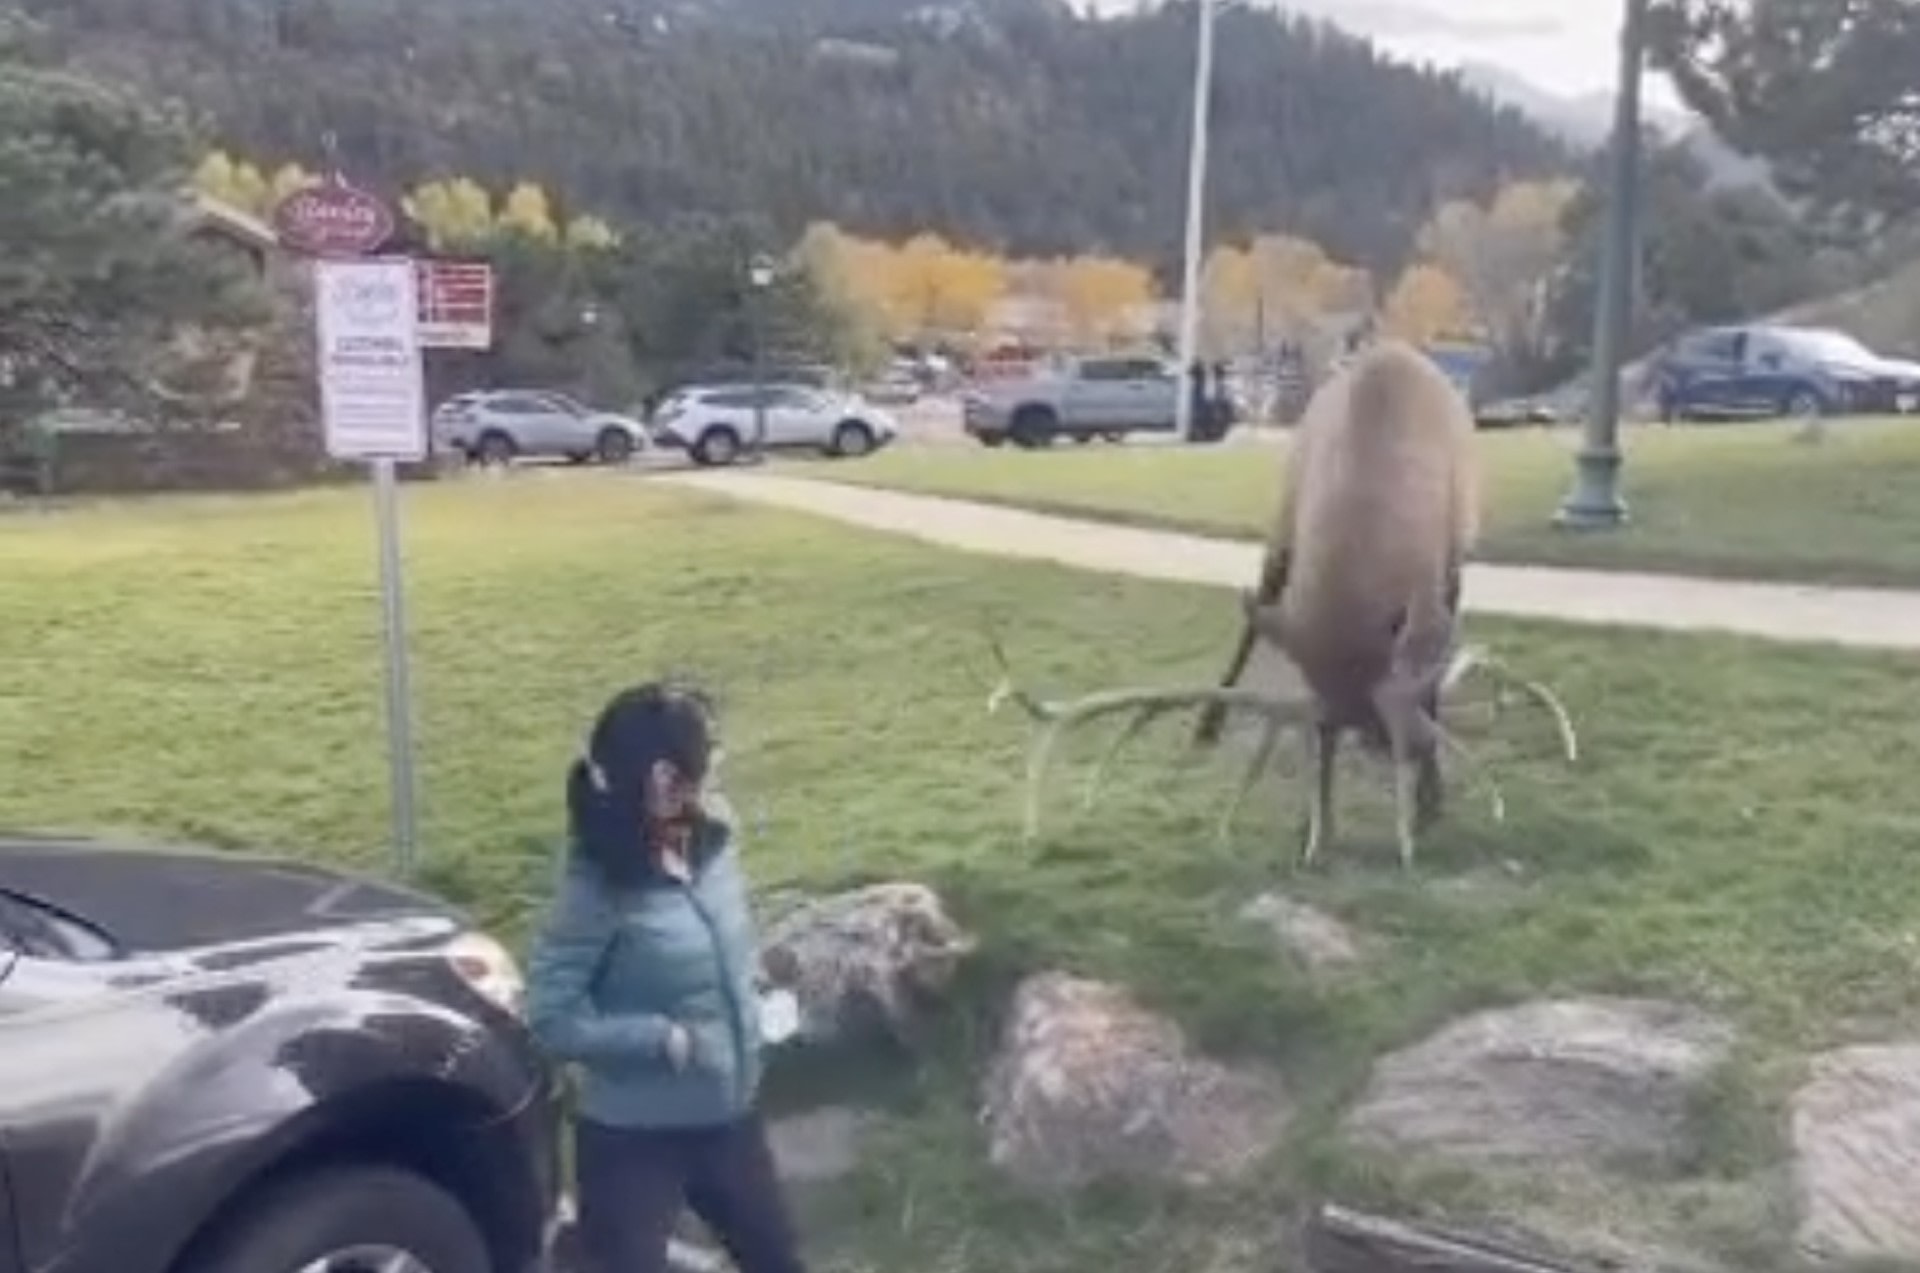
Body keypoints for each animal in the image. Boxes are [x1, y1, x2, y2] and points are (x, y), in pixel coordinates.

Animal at [990, 343, 1574, 871]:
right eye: (1329, 732)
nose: (1384, 746)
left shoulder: (1445, 576)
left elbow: (1428, 681)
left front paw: (1431, 800)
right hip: (1281, 527)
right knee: (1255, 612)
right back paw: (1208, 722)